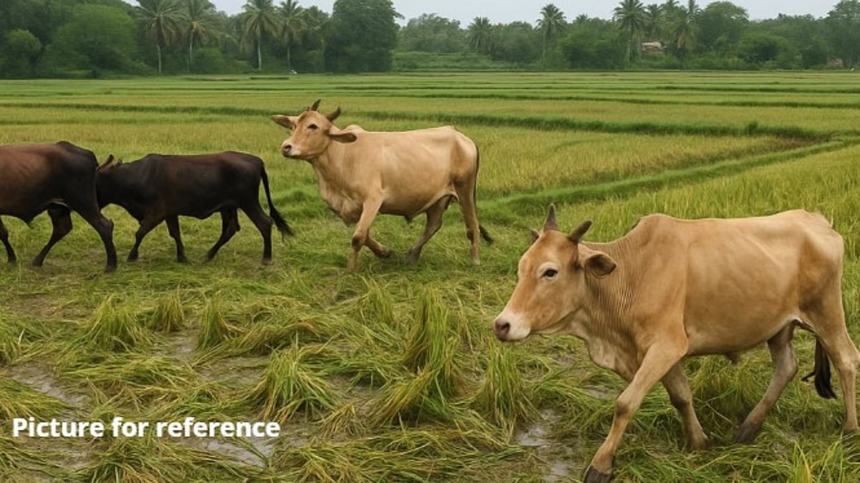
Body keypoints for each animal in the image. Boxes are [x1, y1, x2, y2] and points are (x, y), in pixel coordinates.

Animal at [0, 142, 117, 271]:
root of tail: (86, 153)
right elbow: (3, 233)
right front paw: (12, 259)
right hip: (58, 207)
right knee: (62, 229)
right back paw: (38, 260)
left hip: (83, 202)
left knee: (104, 226)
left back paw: (111, 265)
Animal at [96, 151, 292, 264]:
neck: (137, 176)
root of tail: (256, 160)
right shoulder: (170, 213)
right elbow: (175, 233)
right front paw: (181, 256)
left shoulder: (157, 213)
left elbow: (140, 233)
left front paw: (132, 256)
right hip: (228, 207)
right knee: (231, 229)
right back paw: (209, 254)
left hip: (248, 202)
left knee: (264, 223)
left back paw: (266, 257)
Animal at [270, 99, 492, 270]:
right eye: (293, 126)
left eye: (313, 126)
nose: (286, 147)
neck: (343, 156)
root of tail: (461, 137)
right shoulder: (349, 208)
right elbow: (365, 234)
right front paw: (385, 252)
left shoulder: (373, 199)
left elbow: (357, 237)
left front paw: (351, 270)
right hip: (438, 197)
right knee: (434, 225)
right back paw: (412, 254)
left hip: (464, 189)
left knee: (472, 225)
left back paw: (475, 261)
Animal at [493, 206, 860, 483]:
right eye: (521, 268)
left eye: (550, 272)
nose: (502, 324)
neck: (630, 275)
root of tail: (818, 219)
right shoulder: (663, 352)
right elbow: (681, 396)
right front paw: (698, 442)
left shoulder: (666, 346)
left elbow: (625, 403)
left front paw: (601, 465)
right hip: (778, 326)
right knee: (786, 368)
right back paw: (748, 429)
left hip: (827, 311)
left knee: (846, 359)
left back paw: (850, 429)